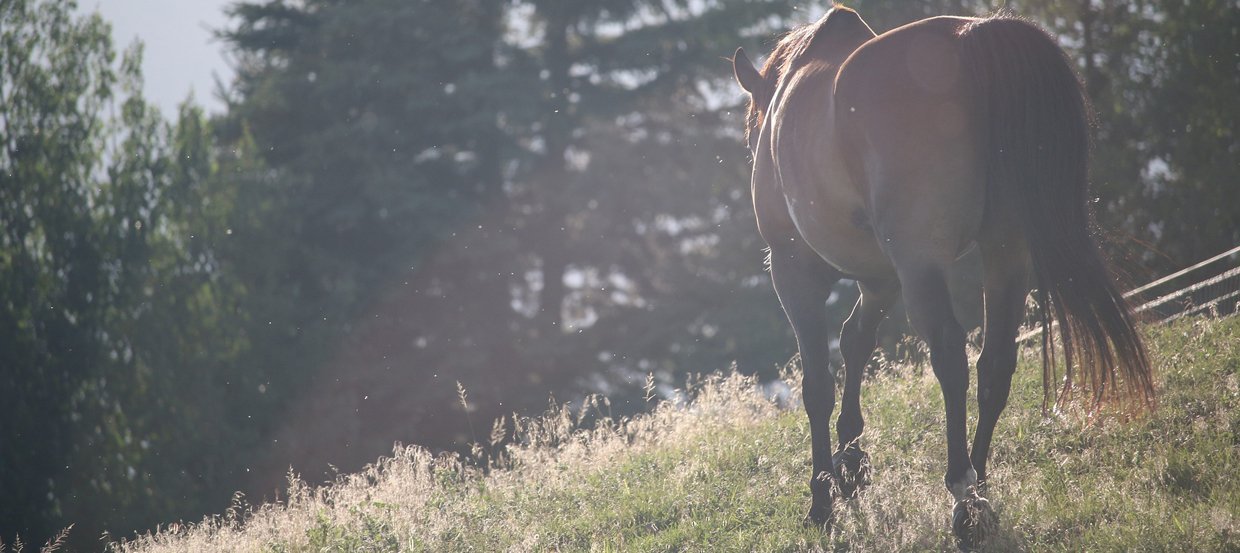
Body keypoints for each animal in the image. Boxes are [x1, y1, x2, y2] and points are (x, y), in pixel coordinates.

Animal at [729, 7, 1155, 548]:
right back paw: (981, 485)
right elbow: (856, 341)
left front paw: (823, 497)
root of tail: (972, 38)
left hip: (921, 262)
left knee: (952, 356)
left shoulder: (795, 270)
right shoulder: (881, 278)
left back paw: (963, 498)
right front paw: (852, 464)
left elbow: (818, 384)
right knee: (995, 362)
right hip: (1005, 252)